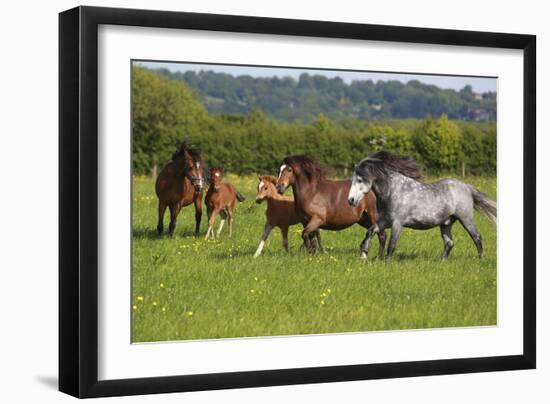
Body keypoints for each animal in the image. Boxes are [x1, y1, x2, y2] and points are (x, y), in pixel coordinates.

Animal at [350, 150, 500, 260]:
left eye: (360, 180)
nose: (350, 200)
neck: (393, 191)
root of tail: (467, 187)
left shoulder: (397, 223)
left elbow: (391, 244)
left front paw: (386, 262)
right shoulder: (384, 221)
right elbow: (370, 230)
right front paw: (364, 253)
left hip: (466, 218)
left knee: (477, 237)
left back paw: (481, 259)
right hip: (446, 223)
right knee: (449, 243)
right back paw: (442, 262)